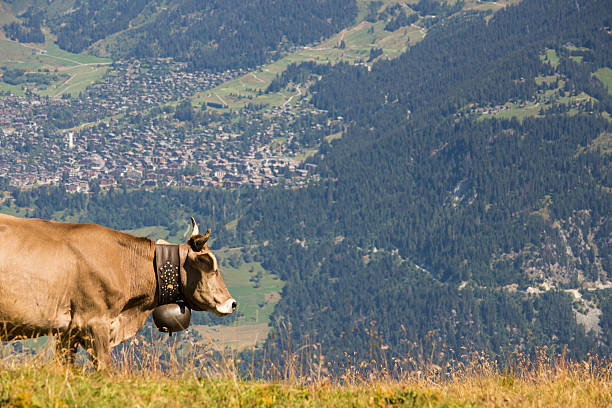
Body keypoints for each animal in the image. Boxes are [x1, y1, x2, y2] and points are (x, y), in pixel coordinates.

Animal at [0, 215, 235, 372]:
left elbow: (64, 369)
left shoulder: (69, 331)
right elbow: (106, 369)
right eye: (211, 266)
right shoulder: (94, 322)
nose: (232, 303)